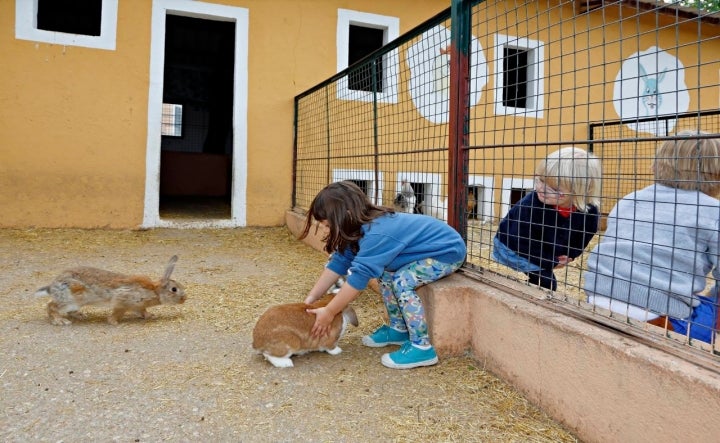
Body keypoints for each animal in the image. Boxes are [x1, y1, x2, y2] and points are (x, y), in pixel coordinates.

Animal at [33, 256, 186, 326]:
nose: (184, 299)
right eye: (174, 289)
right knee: (51, 306)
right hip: (71, 299)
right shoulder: (122, 300)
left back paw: (80, 316)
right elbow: (118, 312)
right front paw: (113, 322)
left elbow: (142, 311)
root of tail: (52, 286)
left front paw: (150, 316)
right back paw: (60, 321)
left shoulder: (138, 306)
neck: (155, 291)